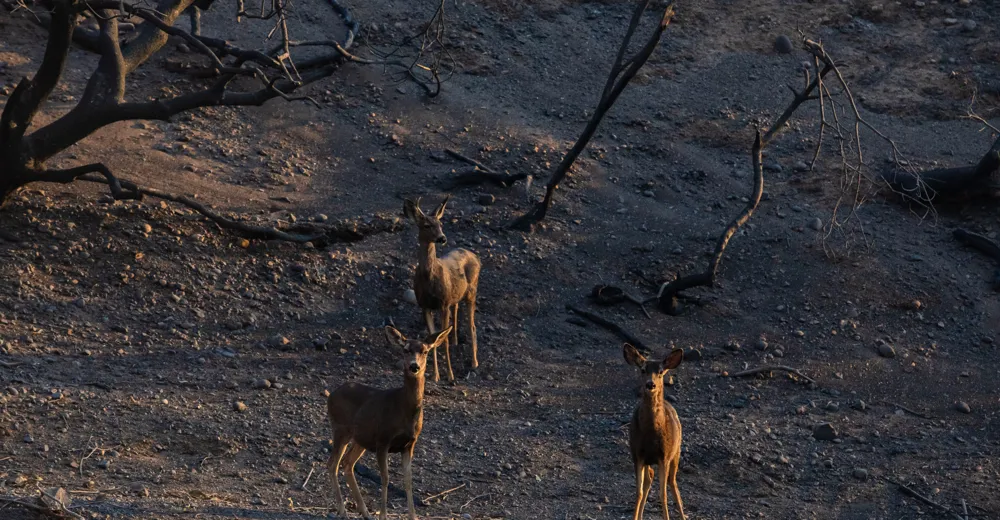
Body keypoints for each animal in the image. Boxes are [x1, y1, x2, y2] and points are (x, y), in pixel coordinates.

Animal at [326, 324, 452, 520]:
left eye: (425, 351)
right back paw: (342, 510)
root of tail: (331, 395)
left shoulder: (410, 444)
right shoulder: (383, 440)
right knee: (332, 464)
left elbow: (408, 481)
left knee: (347, 463)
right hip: (340, 429)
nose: (414, 366)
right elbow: (385, 478)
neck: (405, 411)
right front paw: (383, 515)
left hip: (361, 438)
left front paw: (413, 516)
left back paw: (365, 512)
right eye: (405, 350)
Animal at [404, 195, 482, 382]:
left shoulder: (443, 303)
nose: (442, 238)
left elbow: (442, 340)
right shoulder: (424, 305)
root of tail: (476, 256)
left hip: (472, 292)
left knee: (472, 326)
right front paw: (435, 375)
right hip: (456, 295)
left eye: (441, 223)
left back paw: (474, 363)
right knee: (457, 310)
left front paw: (450, 375)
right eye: (426, 225)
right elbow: (431, 339)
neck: (429, 278)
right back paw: (456, 341)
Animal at [624, 342, 688, 520]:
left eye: (660, 372)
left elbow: (663, 495)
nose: (650, 384)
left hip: (676, 451)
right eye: (642, 369)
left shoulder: (664, 456)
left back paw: (683, 515)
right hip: (649, 460)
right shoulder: (637, 455)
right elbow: (638, 492)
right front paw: (635, 517)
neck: (651, 434)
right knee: (650, 477)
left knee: (672, 483)